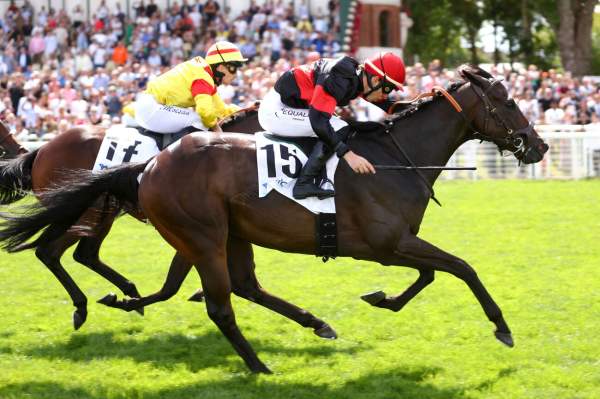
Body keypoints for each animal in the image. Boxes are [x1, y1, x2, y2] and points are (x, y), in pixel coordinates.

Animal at [0, 64, 548, 374]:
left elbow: (433, 274)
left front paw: (381, 299)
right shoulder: (386, 243)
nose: (539, 146)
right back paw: (257, 365)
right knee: (217, 302)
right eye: (507, 101)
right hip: (191, 232)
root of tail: (148, 165)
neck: (395, 157)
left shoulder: (393, 244)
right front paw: (501, 327)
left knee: (237, 285)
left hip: (220, 233)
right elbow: (461, 268)